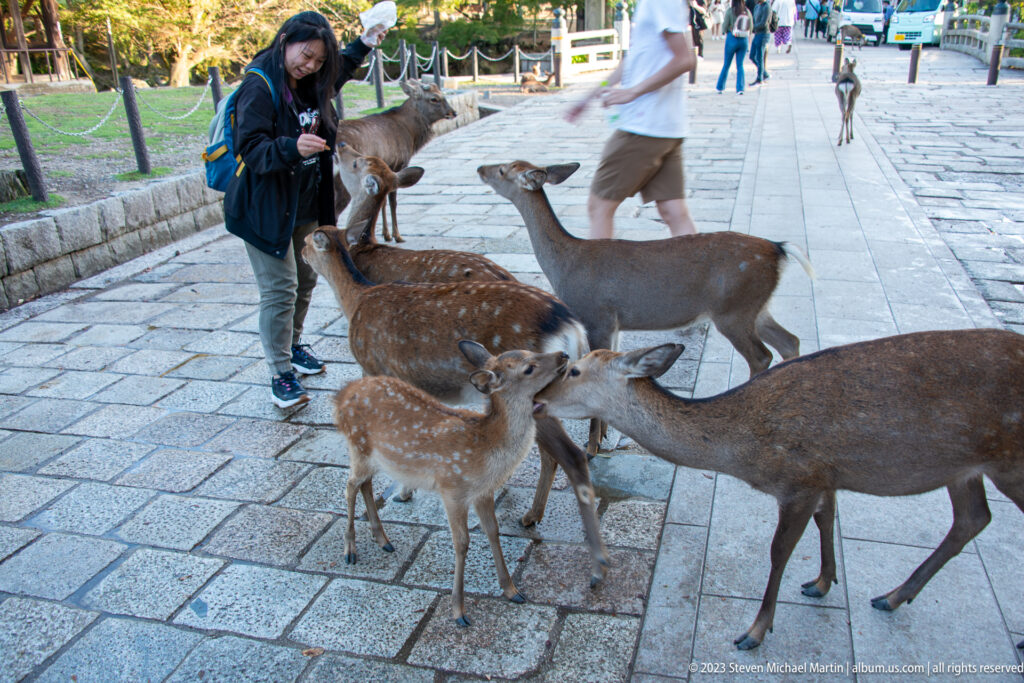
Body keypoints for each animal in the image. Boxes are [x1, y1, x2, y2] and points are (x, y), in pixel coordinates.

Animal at [301, 226, 611, 584]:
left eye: (306, 241)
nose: (300, 254)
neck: (356, 300)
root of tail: (574, 329)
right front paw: (407, 490)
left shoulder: (374, 367)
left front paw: (397, 503)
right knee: (552, 454)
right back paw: (532, 516)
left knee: (571, 454)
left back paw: (595, 561)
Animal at [334, 79, 457, 243]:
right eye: (434, 98)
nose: (453, 112)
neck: (410, 134)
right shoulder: (399, 164)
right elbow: (392, 201)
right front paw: (397, 235)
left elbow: (383, 202)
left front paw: (386, 234)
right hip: (341, 182)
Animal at [336, 341, 569, 626]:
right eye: (529, 368)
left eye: (529, 351)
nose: (563, 354)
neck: (487, 449)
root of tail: (341, 397)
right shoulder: (452, 488)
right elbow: (462, 543)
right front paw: (459, 611)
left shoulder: (483, 492)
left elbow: (493, 531)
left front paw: (512, 590)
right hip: (357, 446)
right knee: (350, 486)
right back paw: (350, 550)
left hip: (373, 458)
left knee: (365, 485)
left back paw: (383, 540)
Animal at [477, 160, 815, 454]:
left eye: (503, 169)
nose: (480, 168)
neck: (564, 265)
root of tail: (778, 250)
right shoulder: (614, 324)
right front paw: (604, 434)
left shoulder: (596, 315)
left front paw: (592, 446)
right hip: (756, 308)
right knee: (789, 340)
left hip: (733, 310)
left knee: (762, 355)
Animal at [532, 329, 1024, 650]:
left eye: (574, 369)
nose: (536, 399)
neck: (746, 450)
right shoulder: (825, 476)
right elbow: (828, 519)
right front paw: (823, 581)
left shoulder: (799, 480)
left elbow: (779, 551)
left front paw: (754, 631)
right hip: (965, 467)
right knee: (973, 518)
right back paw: (892, 595)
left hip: (1010, 462)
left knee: (978, 516)